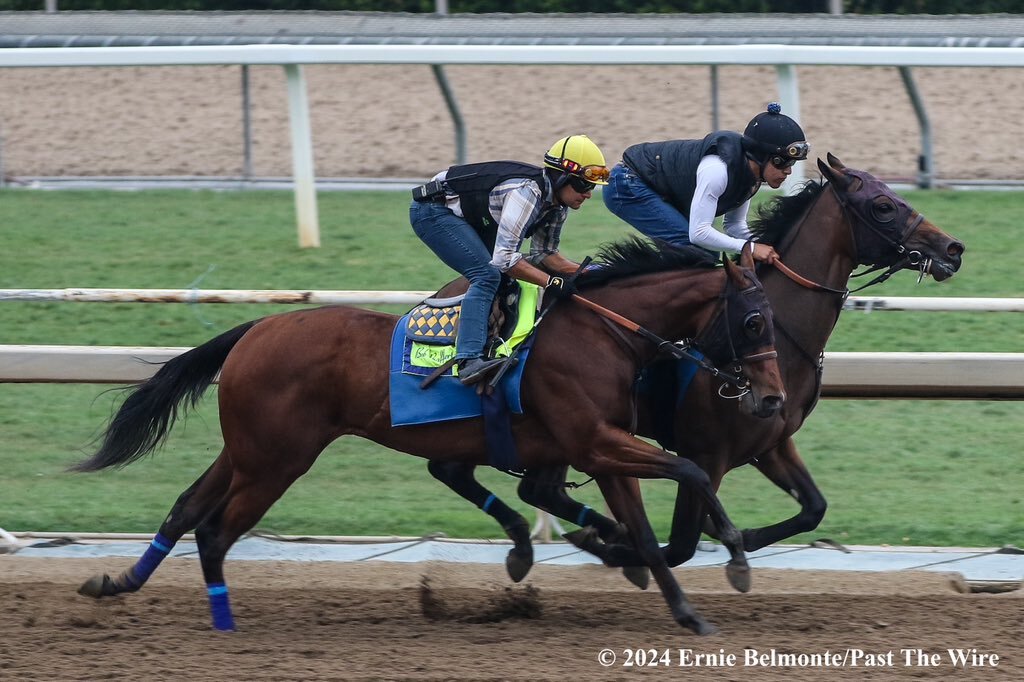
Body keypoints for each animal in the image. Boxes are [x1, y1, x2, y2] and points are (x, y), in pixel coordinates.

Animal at [74, 237, 782, 630]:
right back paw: (224, 622)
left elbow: (643, 531)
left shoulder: (602, 451)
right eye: (753, 322)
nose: (773, 398)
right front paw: (736, 559)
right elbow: (691, 471)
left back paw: (116, 583)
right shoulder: (595, 441)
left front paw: (684, 609)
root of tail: (256, 329)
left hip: (247, 451)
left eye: (772, 319)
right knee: (216, 531)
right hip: (276, 460)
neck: (601, 332)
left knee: (185, 509)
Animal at [428, 155, 962, 577]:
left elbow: (813, 508)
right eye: (883, 206)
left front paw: (738, 537)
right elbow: (682, 542)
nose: (953, 249)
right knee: (475, 472)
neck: (779, 330)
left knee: (534, 488)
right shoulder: (707, 452)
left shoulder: (772, 441)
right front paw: (659, 547)